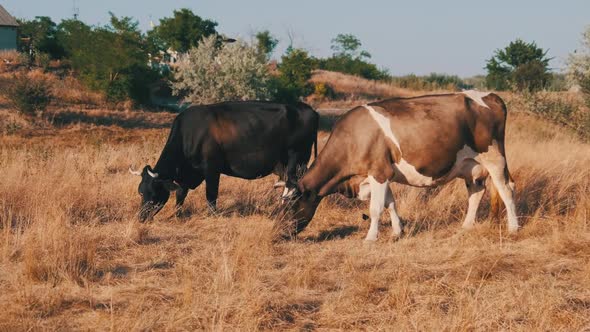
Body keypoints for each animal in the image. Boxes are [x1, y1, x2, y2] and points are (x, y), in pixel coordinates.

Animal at [130, 100, 320, 222]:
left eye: (154, 192)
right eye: (140, 192)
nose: (141, 218)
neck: (190, 133)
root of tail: (309, 109)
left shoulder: (211, 170)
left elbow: (211, 195)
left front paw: (213, 216)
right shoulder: (186, 175)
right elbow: (180, 194)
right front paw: (176, 215)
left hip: (297, 159)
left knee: (294, 184)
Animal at [282, 91, 520, 240]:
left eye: (291, 205)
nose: (280, 232)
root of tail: (490, 96)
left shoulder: (379, 172)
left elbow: (376, 208)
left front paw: (371, 238)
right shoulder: (383, 174)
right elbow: (391, 204)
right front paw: (397, 232)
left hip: (495, 158)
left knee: (506, 189)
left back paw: (513, 227)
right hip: (471, 166)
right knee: (477, 192)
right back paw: (466, 226)